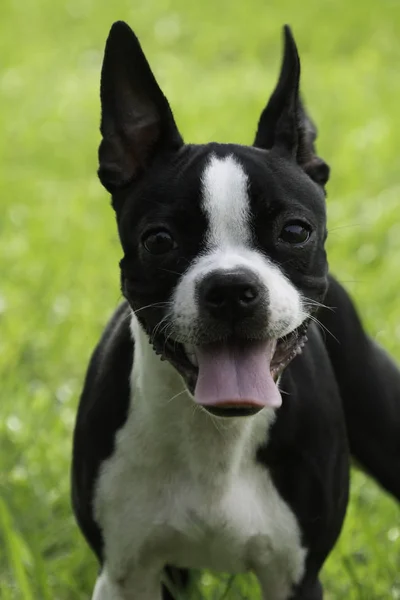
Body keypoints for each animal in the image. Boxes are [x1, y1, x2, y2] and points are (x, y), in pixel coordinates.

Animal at [72, 21, 400, 600]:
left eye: (295, 231)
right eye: (159, 240)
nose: (229, 288)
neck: (217, 438)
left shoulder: (296, 575)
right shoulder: (125, 573)